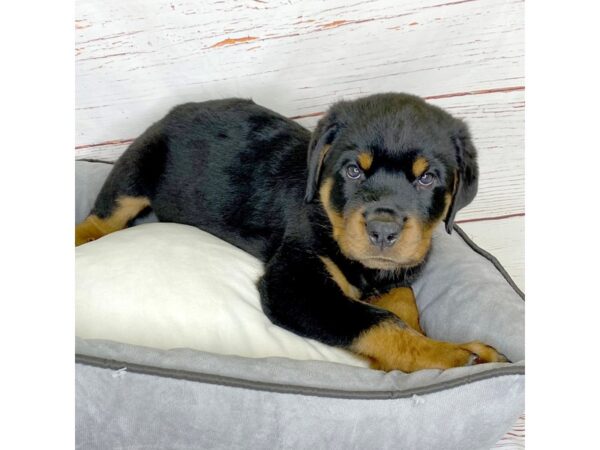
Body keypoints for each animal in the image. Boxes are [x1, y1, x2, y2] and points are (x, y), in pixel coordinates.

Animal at [75, 93, 506, 370]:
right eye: (353, 171)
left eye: (427, 178)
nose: (383, 230)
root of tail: (178, 109)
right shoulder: (295, 283)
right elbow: (377, 321)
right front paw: (454, 356)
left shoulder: (395, 274)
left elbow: (403, 301)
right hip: (136, 169)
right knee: (99, 220)